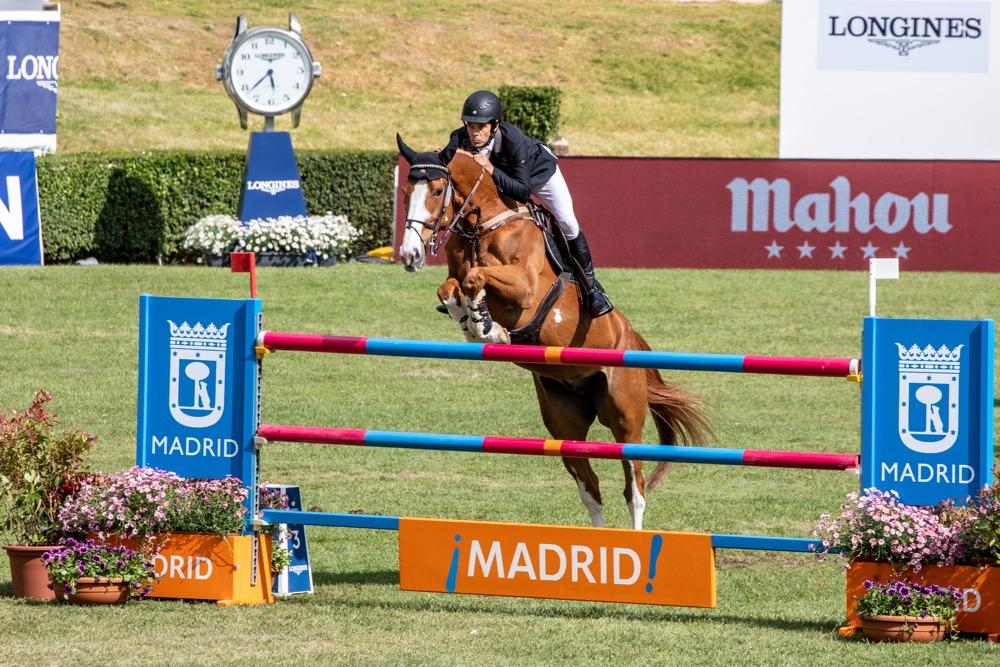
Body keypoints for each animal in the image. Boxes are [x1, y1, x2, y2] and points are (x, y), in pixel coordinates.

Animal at [392, 136, 712, 528]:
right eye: (406, 191)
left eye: (438, 190)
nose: (410, 255)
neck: (483, 224)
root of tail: (631, 337)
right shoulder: (459, 273)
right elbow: (451, 287)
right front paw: (473, 321)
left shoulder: (526, 291)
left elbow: (475, 278)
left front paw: (487, 326)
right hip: (564, 422)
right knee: (591, 487)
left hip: (624, 417)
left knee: (634, 487)